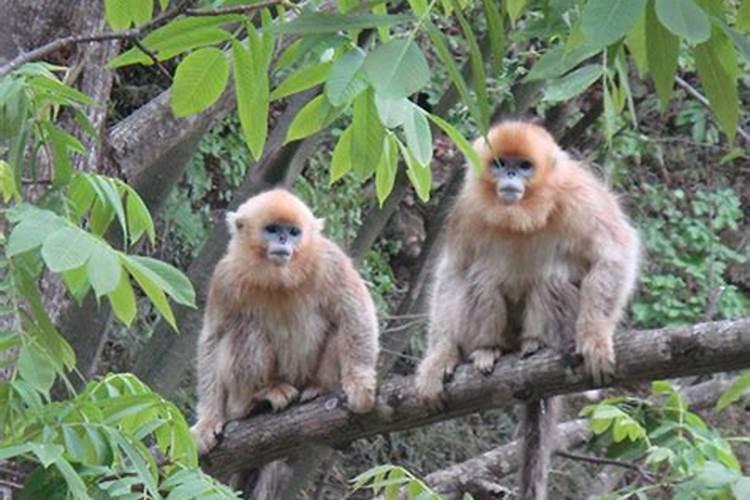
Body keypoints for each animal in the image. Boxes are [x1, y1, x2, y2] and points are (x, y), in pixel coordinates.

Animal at [192, 188, 378, 496]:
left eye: (293, 232)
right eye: (272, 230)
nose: (282, 240)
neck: (278, 278)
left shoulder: (329, 259)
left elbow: (355, 311)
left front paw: (360, 383)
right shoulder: (225, 277)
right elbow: (213, 337)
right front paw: (207, 420)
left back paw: (317, 389)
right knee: (244, 327)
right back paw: (258, 398)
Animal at [418, 121, 640, 500]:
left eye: (524, 166)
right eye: (500, 163)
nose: (509, 174)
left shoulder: (579, 194)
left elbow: (614, 251)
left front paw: (595, 336)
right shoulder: (467, 207)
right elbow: (454, 271)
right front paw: (440, 356)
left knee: (551, 279)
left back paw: (537, 343)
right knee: (481, 277)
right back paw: (487, 348)